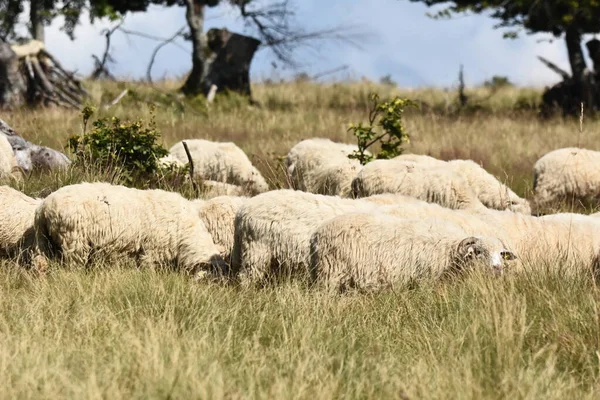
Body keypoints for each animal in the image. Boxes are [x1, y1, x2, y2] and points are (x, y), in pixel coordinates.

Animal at [31, 182, 223, 274]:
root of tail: (44, 207)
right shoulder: (152, 251)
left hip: (44, 241)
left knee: (41, 263)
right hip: (74, 241)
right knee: (72, 266)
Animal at [310, 212, 516, 294]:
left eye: (500, 253)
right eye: (479, 251)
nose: (497, 268)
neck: (449, 252)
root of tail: (317, 233)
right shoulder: (426, 281)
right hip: (331, 274)